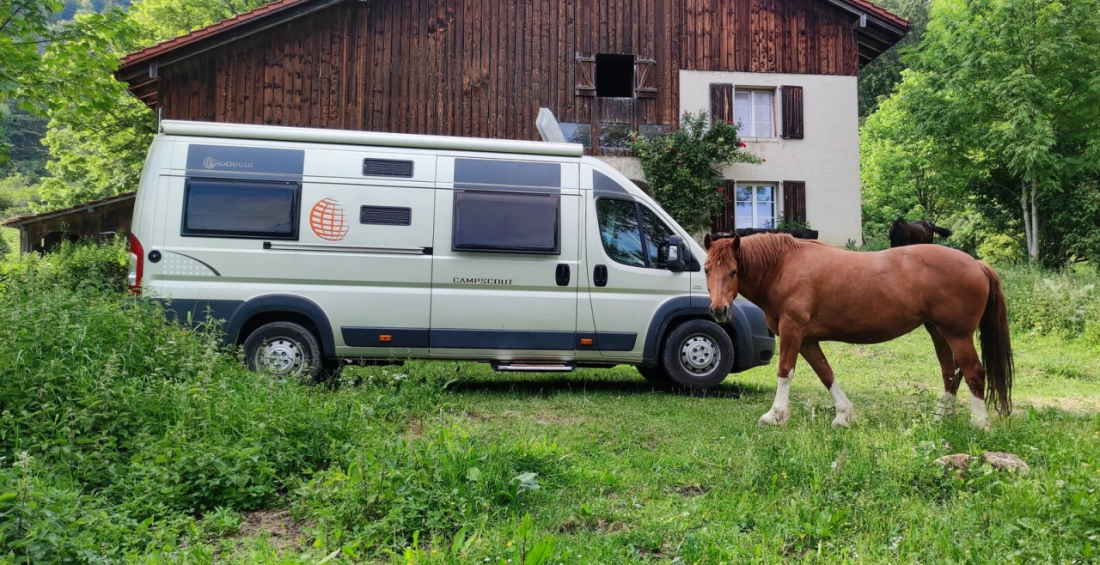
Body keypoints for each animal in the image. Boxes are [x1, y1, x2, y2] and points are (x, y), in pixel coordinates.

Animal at [704, 231, 1012, 426]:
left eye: (733, 271)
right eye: (707, 269)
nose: (719, 310)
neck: (782, 266)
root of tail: (977, 264)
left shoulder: (793, 330)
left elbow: (785, 372)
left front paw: (775, 415)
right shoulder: (807, 340)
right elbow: (826, 373)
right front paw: (844, 415)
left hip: (958, 335)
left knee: (974, 373)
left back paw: (980, 423)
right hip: (938, 332)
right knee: (950, 375)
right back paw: (939, 420)